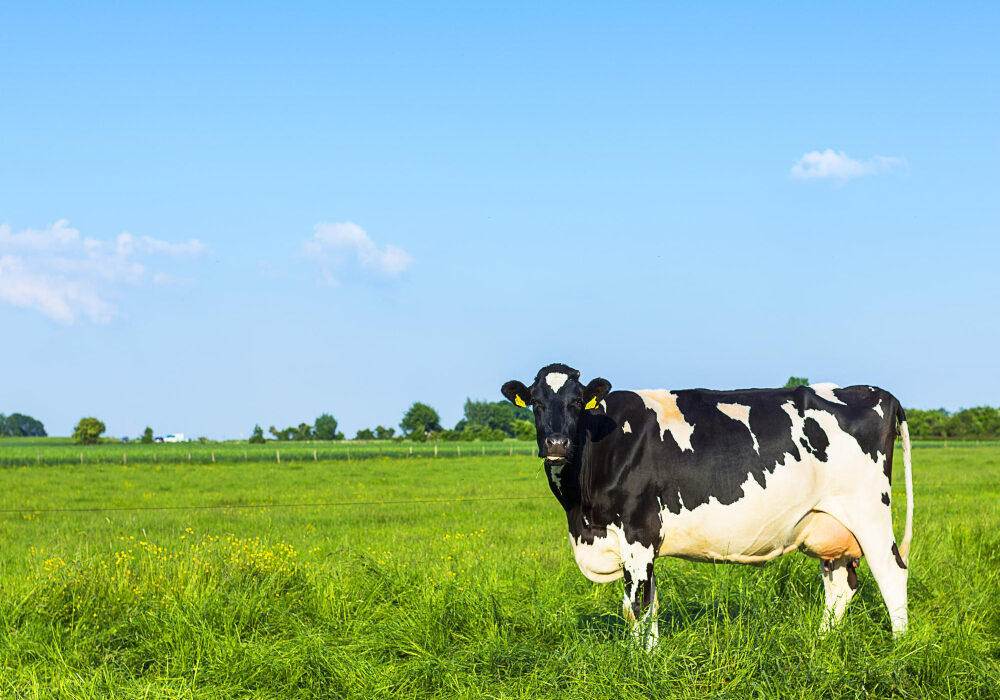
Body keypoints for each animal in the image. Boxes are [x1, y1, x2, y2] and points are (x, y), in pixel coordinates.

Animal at [501, 363, 913, 648]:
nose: (556, 444)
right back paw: (821, 643)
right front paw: (651, 657)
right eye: (535, 402)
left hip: (870, 511)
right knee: (841, 584)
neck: (582, 516)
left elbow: (636, 606)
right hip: (829, 524)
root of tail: (877, 392)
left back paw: (900, 649)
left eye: (576, 402)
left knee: (891, 573)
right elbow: (649, 603)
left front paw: (638, 663)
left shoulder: (638, 532)